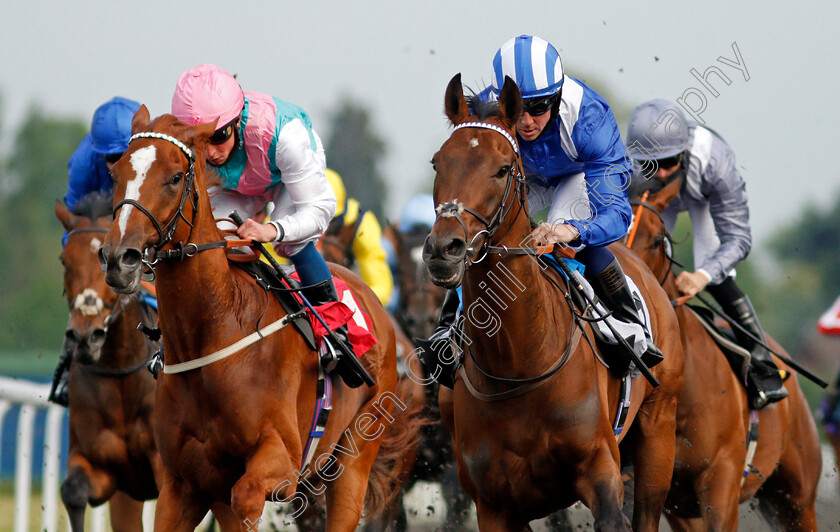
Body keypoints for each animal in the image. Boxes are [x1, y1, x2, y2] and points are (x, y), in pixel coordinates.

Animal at [56, 192, 162, 532]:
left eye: (103, 257)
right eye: (64, 260)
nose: (84, 337)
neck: (120, 372)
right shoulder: (104, 471)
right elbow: (73, 491)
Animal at [98, 108, 420, 532]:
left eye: (175, 177)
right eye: (115, 173)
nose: (120, 258)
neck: (213, 331)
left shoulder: (282, 460)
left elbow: (248, 493)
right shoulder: (182, 484)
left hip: (355, 457)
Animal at [424, 75, 684, 532]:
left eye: (503, 168)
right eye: (439, 163)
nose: (444, 248)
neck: (519, 362)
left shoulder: (601, 474)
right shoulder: (494, 505)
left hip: (658, 432)